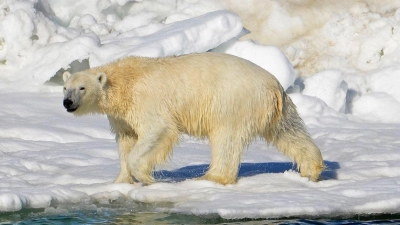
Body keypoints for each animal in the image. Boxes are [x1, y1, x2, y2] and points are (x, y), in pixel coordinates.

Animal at [62, 52, 324, 185]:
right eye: (65, 88)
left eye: (82, 88)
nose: (67, 102)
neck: (125, 81)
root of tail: (273, 85)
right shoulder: (122, 116)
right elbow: (126, 140)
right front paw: (120, 181)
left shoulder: (147, 101)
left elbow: (157, 130)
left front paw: (146, 177)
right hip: (276, 108)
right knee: (289, 132)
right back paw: (311, 169)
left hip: (232, 102)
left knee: (226, 139)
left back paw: (211, 177)